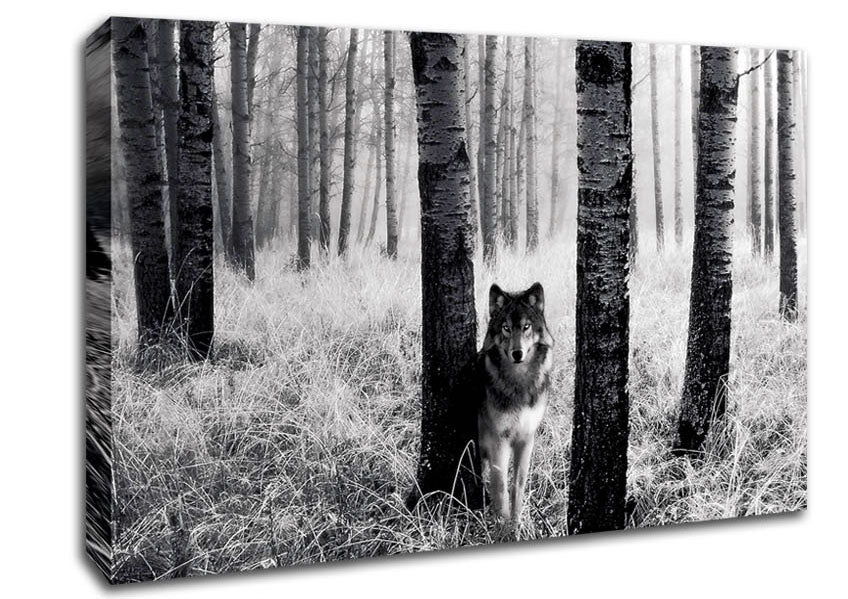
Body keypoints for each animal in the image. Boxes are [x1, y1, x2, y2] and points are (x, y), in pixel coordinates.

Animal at [477, 282, 554, 524]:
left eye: (526, 326)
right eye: (506, 328)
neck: (519, 384)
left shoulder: (526, 438)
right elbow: (501, 487)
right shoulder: (498, 440)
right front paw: (502, 526)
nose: (517, 353)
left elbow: (518, 485)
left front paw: (516, 524)